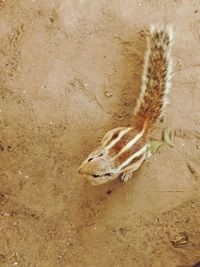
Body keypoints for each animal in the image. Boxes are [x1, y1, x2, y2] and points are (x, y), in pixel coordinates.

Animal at [78, 24, 173, 185]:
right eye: (90, 158)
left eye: (97, 175)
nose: (79, 171)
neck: (111, 159)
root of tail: (140, 130)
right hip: (115, 130)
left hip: (138, 161)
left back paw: (128, 173)